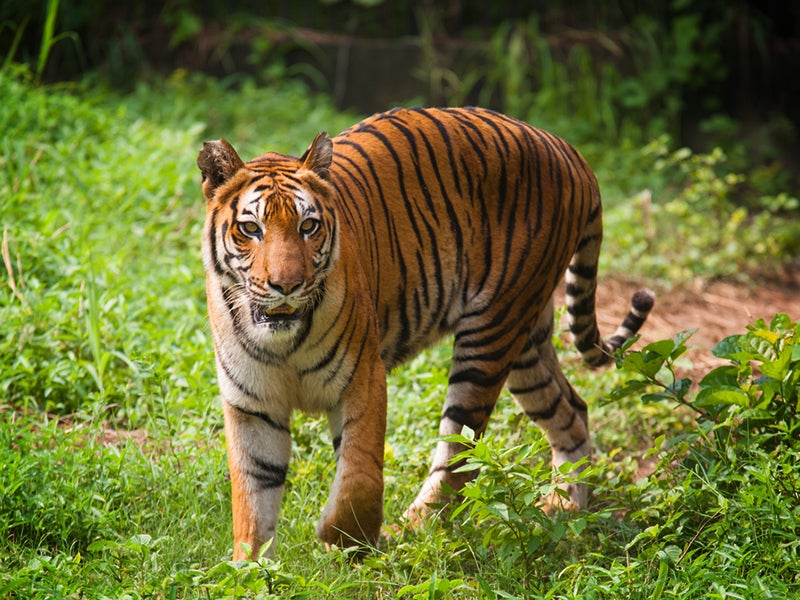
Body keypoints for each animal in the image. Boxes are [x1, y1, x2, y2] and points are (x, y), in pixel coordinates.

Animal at [197, 105, 652, 560]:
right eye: (251, 229)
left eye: (308, 227)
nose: (287, 285)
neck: (282, 344)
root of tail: (567, 149)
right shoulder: (252, 405)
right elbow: (253, 496)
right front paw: (251, 567)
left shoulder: (363, 379)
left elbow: (360, 475)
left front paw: (343, 538)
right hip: (527, 342)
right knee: (572, 409)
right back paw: (565, 506)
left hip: (491, 335)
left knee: (458, 456)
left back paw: (410, 531)